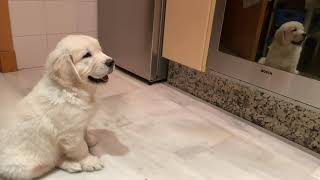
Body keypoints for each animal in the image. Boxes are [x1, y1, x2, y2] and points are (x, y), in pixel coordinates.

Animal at [0, 34, 115, 179]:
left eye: (100, 50)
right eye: (87, 55)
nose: (111, 62)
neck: (71, 89)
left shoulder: (81, 123)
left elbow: (85, 132)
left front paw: (90, 140)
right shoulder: (71, 132)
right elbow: (81, 147)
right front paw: (90, 161)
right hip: (27, 167)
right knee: (52, 163)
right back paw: (71, 164)